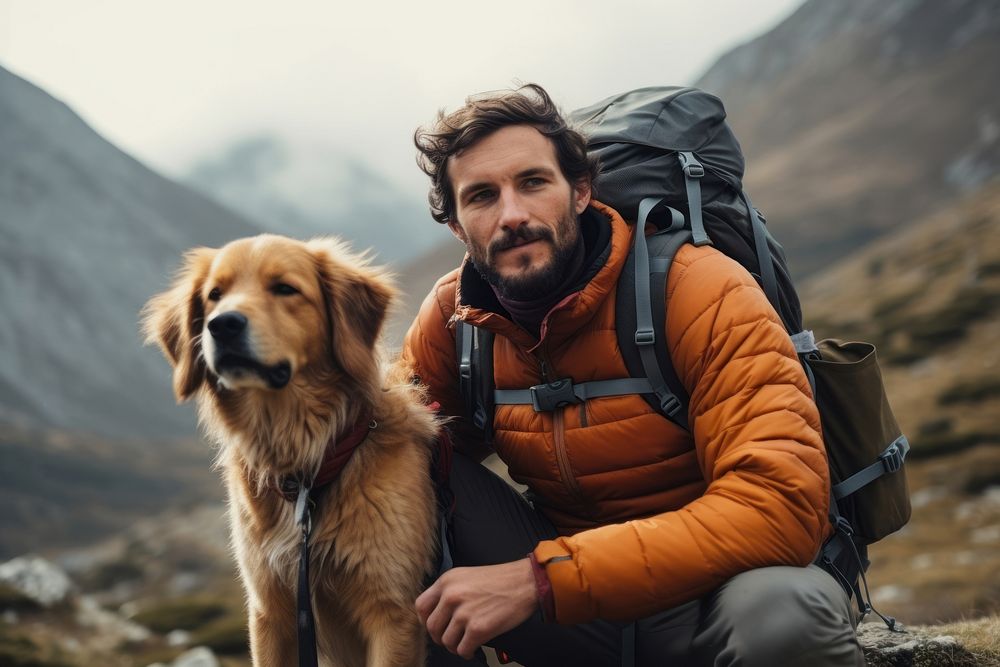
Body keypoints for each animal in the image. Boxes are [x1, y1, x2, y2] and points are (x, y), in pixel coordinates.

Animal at [143, 234, 440, 664]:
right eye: (215, 295)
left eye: (285, 288)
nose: (222, 325)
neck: (305, 468)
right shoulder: (270, 611)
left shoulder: (393, 613)